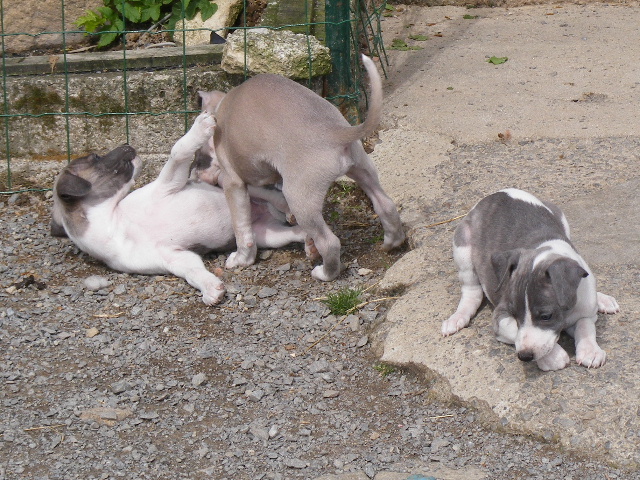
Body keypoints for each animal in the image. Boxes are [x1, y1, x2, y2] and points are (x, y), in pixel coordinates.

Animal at [51, 112, 306, 304]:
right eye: (95, 157)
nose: (127, 144)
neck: (118, 225)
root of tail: (268, 215)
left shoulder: (167, 185)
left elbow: (177, 152)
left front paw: (200, 128)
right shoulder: (175, 258)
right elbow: (193, 272)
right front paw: (210, 288)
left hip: (237, 187)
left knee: (271, 195)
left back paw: (285, 206)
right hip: (267, 236)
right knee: (292, 233)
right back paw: (306, 239)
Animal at [442, 188, 616, 372]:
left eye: (546, 316)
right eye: (514, 314)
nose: (524, 357)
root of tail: (497, 193)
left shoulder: (586, 311)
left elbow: (585, 326)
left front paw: (590, 350)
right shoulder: (500, 316)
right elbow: (515, 331)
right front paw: (553, 357)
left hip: (561, 217)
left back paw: (603, 299)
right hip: (462, 248)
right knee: (471, 291)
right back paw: (457, 317)